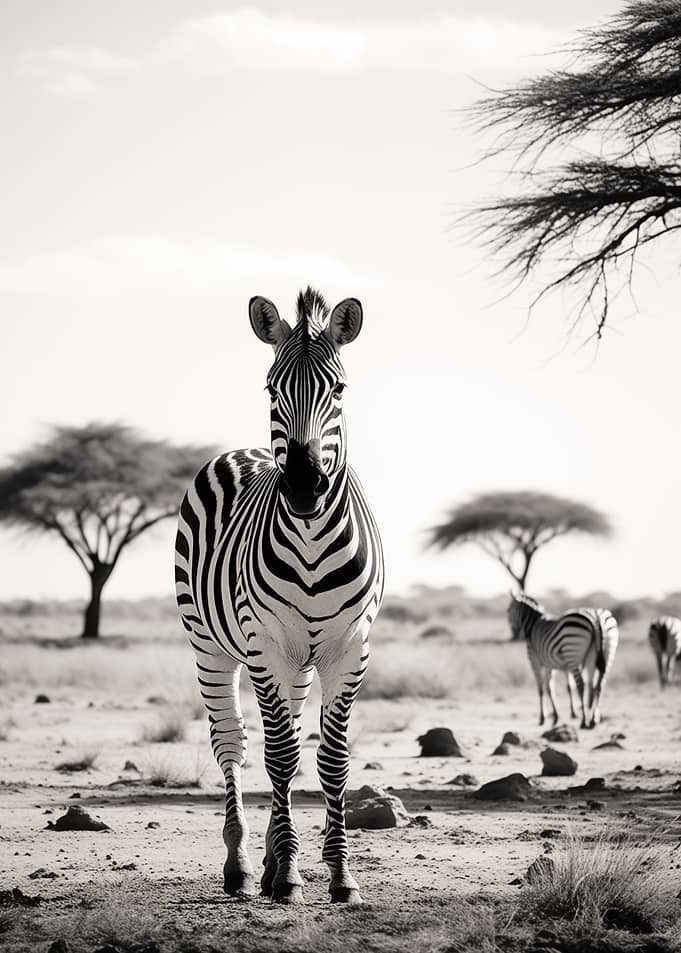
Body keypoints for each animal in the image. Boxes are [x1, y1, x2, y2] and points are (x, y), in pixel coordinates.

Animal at [175, 287, 384, 906]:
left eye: (338, 389)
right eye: (271, 389)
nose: (304, 485)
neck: (312, 537)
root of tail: (245, 451)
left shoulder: (350, 649)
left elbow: (330, 760)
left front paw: (338, 875)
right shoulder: (264, 643)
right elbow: (281, 756)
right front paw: (289, 874)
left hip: (297, 661)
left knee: (283, 729)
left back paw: (266, 861)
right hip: (213, 647)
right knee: (235, 744)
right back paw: (244, 866)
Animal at [507, 592, 619, 728]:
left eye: (508, 611)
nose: (513, 635)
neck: (533, 624)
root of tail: (596, 617)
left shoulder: (535, 661)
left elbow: (541, 688)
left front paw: (543, 718)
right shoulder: (551, 664)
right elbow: (554, 688)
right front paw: (557, 716)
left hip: (572, 651)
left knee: (582, 685)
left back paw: (584, 721)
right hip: (604, 653)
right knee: (598, 685)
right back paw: (593, 720)